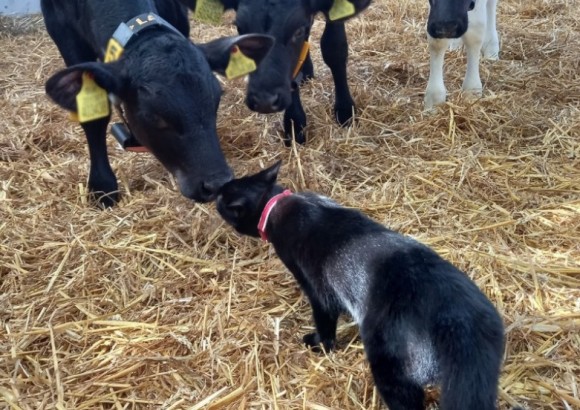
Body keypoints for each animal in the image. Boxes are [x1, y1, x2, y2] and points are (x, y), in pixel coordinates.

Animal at [42, 0, 274, 205]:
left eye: (216, 101)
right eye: (153, 117)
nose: (217, 184)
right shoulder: (64, 34)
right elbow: (93, 116)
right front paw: (102, 186)